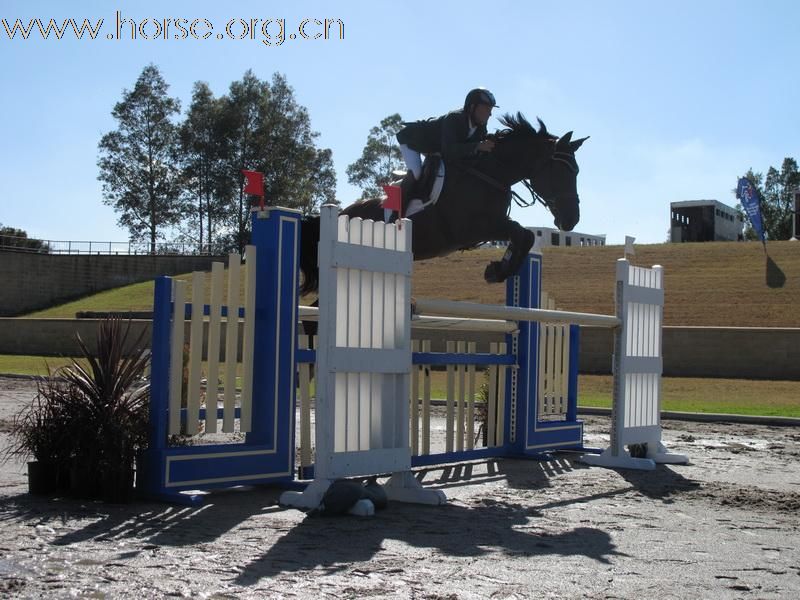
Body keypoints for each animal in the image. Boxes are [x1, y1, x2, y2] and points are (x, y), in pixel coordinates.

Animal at [296, 111, 584, 296]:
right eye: (560, 172)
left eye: (576, 172)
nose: (571, 220)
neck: (490, 173)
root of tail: (339, 212)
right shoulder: (472, 229)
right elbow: (520, 232)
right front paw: (496, 270)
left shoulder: (490, 225)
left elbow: (524, 236)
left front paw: (498, 269)